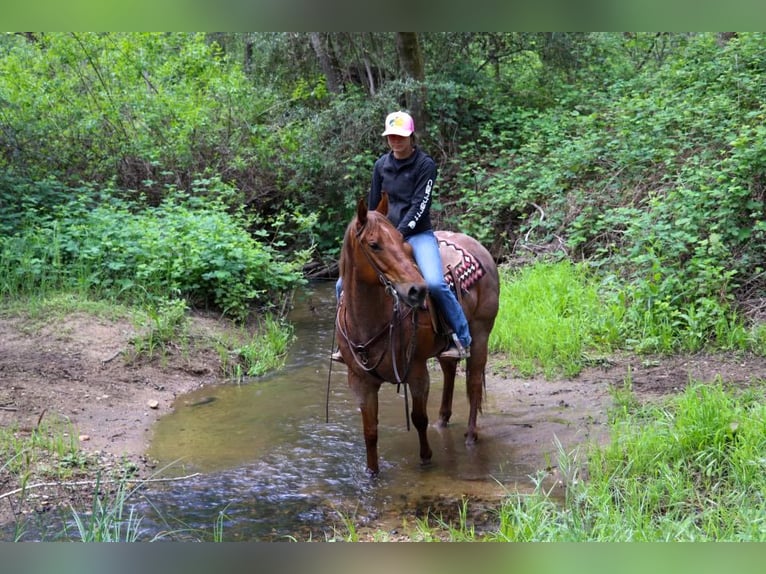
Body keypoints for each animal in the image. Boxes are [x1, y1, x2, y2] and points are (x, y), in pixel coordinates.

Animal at [334, 194, 500, 476]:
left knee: (474, 383)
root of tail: (479, 247)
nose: (417, 291)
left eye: (403, 243)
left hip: (480, 334)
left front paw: (426, 459)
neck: (371, 320)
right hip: (445, 347)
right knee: (449, 371)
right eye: (374, 245)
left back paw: (470, 436)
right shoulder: (360, 382)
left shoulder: (416, 371)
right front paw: (372, 473)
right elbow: (370, 432)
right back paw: (442, 421)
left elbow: (419, 418)